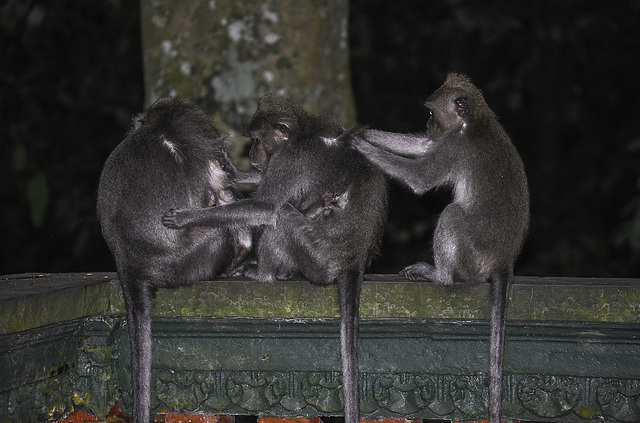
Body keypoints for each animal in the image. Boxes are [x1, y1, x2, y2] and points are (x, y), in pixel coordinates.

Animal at [162, 93, 388, 423]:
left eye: (258, 139)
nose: (253, 153)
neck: (303, 132)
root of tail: (353, 260)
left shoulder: (290, 159)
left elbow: (266, 206)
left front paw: (189, 217)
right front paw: (231, 170)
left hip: (317, 256)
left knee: (280, 213)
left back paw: (264, 272)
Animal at [352, 73, 528, 423]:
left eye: (432, 113)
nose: (429, 125)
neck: (476, 120)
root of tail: (504, 262)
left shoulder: (454, 147)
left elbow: (420, 177)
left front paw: (360, 145)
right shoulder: (445, 141)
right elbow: (422, 146)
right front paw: (359, 131)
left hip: (474, 257)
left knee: (452, 215)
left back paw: (440, 276)